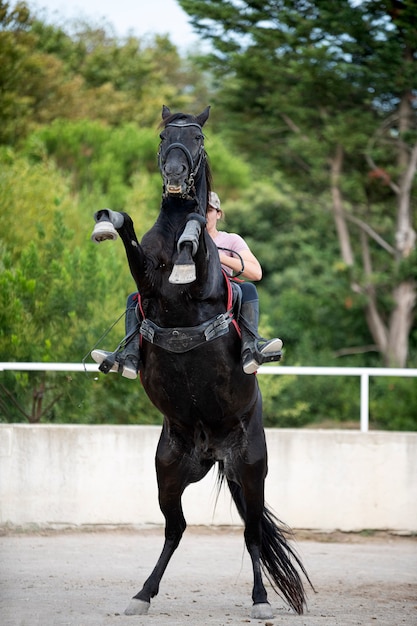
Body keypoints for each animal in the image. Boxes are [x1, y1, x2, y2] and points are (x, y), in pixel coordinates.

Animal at [92, 105, 312, 616]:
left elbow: (201, 250)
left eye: (198, 137)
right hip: (169, 473)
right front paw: (105, 221)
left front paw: (190, 249)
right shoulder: (146, 283)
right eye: (163, 136)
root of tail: (214, 452)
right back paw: (142, 594)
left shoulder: (204, 283)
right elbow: (130, 239)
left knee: (252, 533)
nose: (174, 176)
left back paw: (260, 600)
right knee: (176, 529)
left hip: (251, 470)